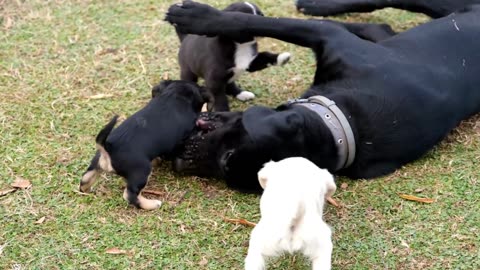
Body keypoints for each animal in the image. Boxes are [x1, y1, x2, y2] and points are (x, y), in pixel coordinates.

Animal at [79, 79, 206, 210]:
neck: (174, 96)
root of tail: (107, 148)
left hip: (95, 163)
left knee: (85, 179)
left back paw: (87, 190)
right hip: (141, 172)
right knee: (130, 195)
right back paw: (152, 204)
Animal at [166, 2, 480, 192]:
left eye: (226, 161)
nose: (182, 154)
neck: (341, 124)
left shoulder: (328, 36)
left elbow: (250, 23)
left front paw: (196, 16)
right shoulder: (328, 37)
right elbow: (259, 23)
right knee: (383, 22)